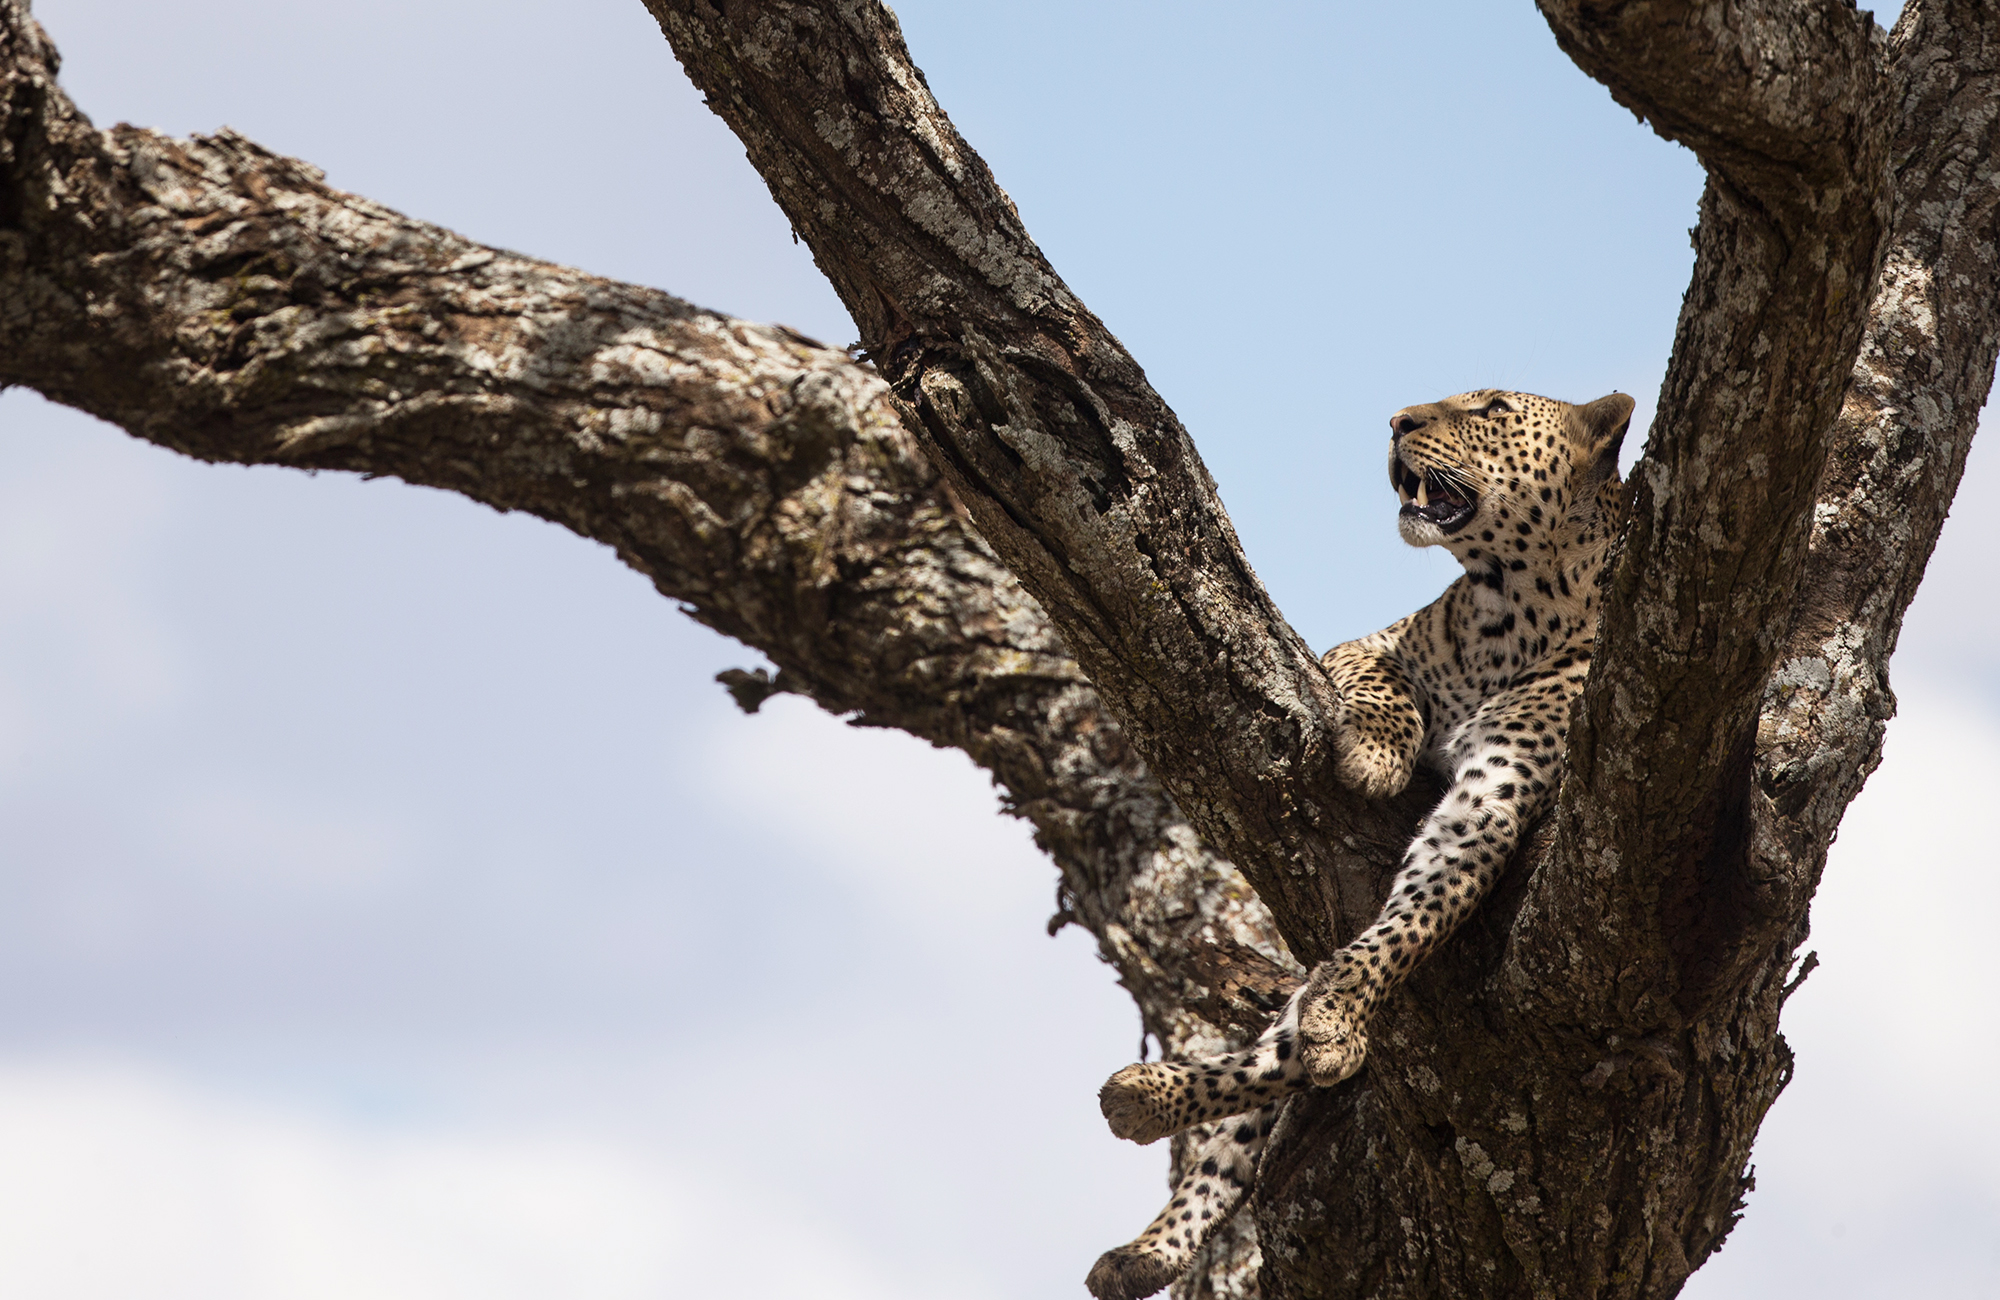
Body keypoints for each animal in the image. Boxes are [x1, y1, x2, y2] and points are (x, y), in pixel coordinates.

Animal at [1084, 389, 1636, 1300]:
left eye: (1490, 406)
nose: (1398, 419)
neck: (1511, 607)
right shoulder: (1370, 644)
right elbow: (1381, 687)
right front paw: (1375, 754)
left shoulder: (1496, 789)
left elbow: (1408, 923)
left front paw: (1343, 1008)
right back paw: (1145, 1225)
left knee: (1286, 1051)